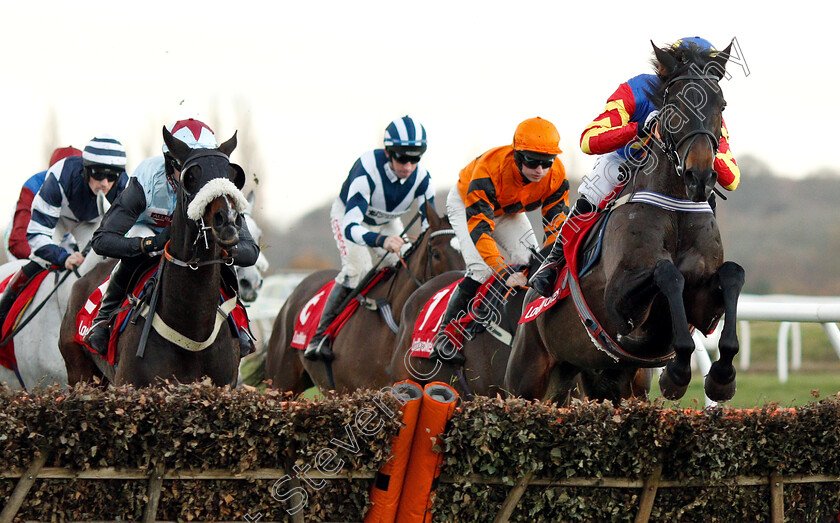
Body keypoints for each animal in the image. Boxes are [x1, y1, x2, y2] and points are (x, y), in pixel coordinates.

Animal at [60, 127, 249, 388]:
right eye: (191, 176)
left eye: (232, 176)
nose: (228, 220)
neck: (191, 333)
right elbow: (103, 235)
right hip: (80, 373)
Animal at [508, 43, 744, 408]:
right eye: (674, 105)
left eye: (721, 104)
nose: (701, 176)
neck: (676, 210)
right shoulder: (619, 305)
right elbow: (668, 273)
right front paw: (676, 374)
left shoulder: (704, 309)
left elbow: (733, 274)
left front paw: (721, 377)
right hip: (527, 379)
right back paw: (545, 275)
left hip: (607, 382)